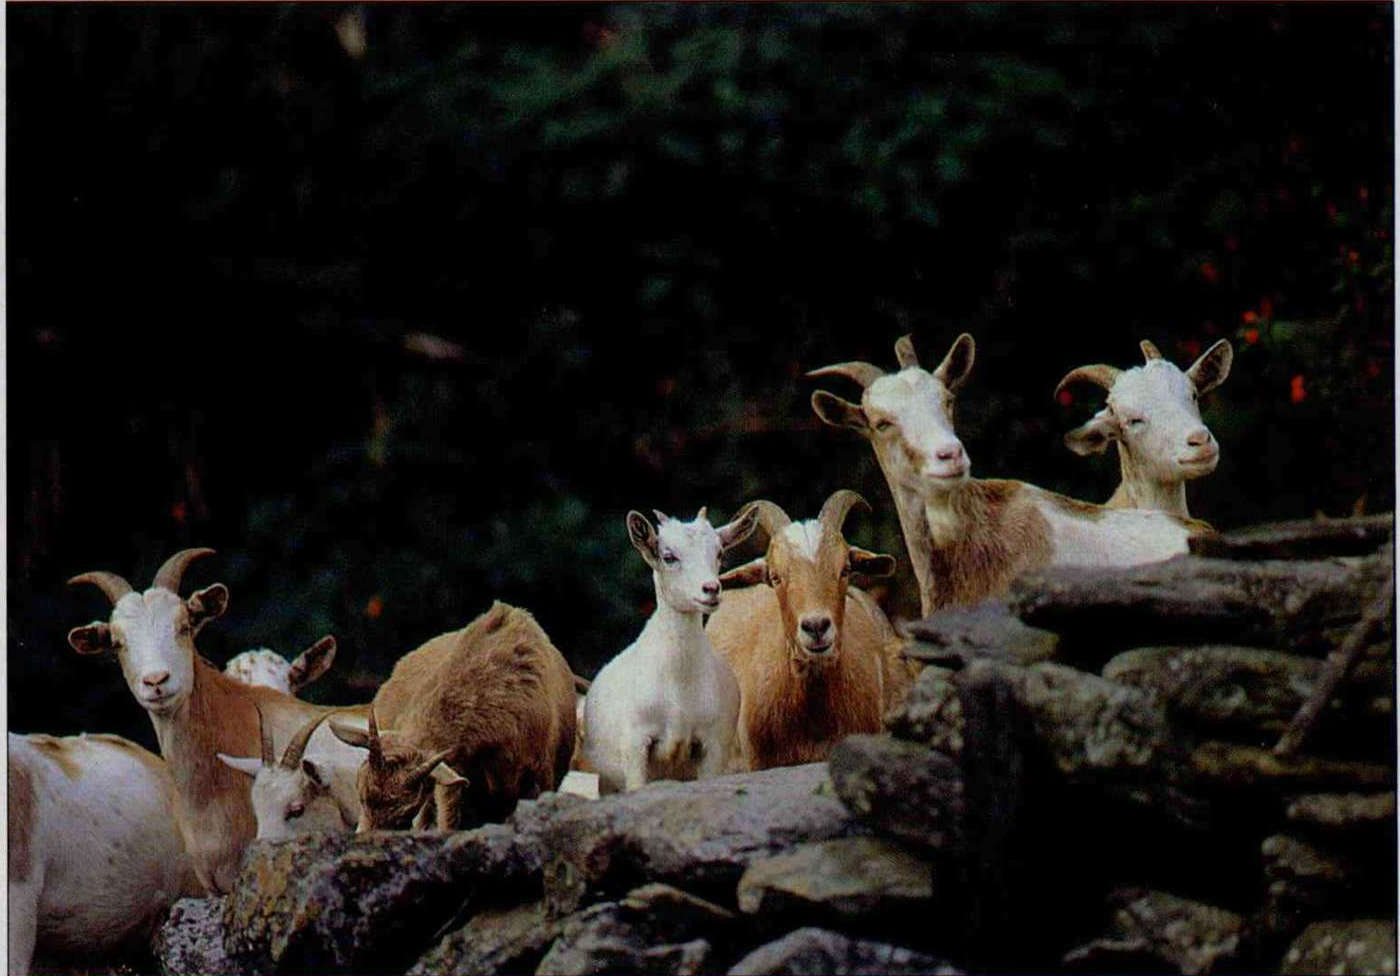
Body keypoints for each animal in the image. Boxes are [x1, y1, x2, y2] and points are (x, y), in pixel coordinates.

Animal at [582, 505, 759, 793]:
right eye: (668, 556)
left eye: (719, 552)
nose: (711, 589)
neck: (679, 690)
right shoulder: (635, 743)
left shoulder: (714, 743)